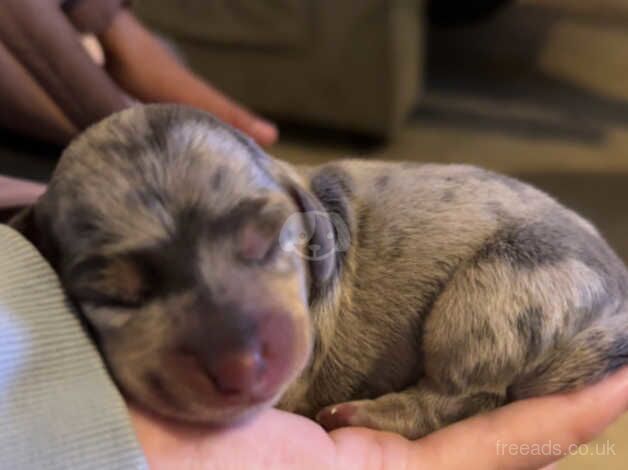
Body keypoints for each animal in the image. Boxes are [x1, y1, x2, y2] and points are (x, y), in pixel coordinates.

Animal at [11, 104, 628, 438]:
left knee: (466, 395)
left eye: (268, 239)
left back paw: (365, 413)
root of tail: (615, 298)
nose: (240, 367)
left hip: (490, 299)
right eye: (113, 293)